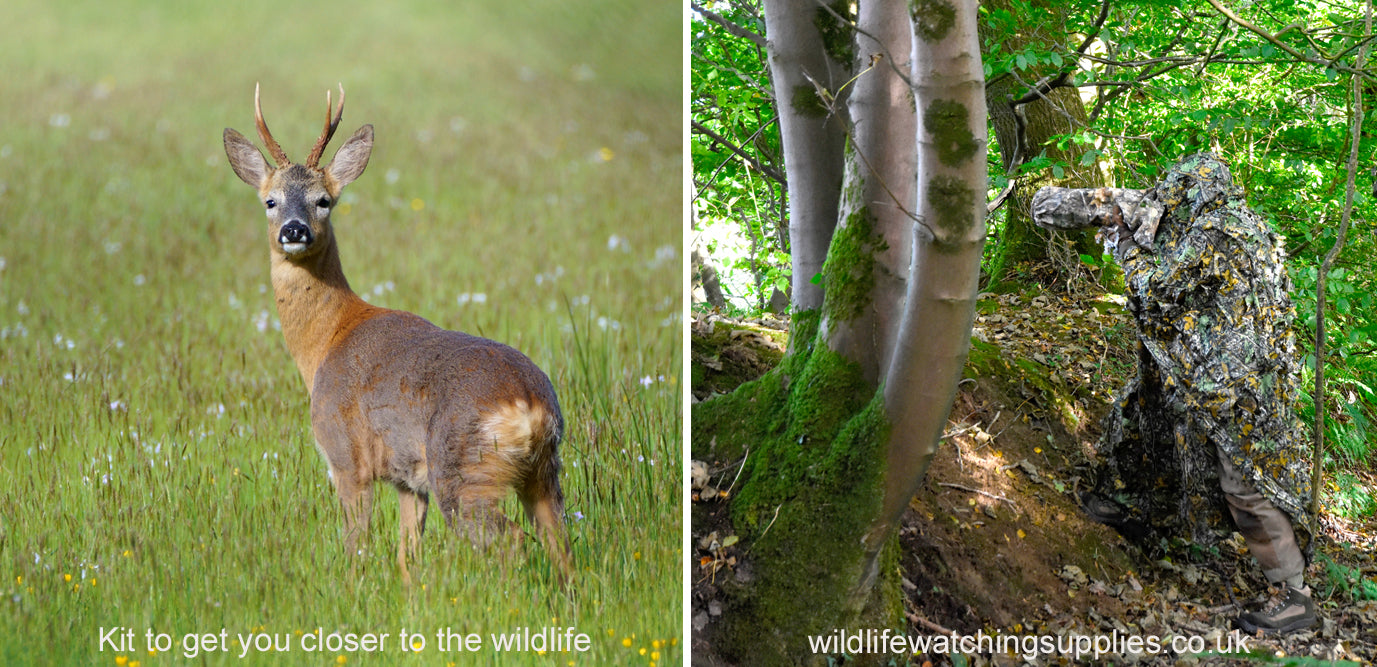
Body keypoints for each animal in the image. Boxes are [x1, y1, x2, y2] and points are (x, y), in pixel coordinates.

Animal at [223, 84, 567, 584]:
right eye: (270, 200)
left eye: (324, 200)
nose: (294, 229)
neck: (327, 341)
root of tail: (530, 405)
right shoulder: (409, 479)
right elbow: (408, 557)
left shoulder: (346, 457)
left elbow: (356, 546)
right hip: (542, 473)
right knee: (561, 543)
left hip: (462, 473)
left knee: (514, 542)